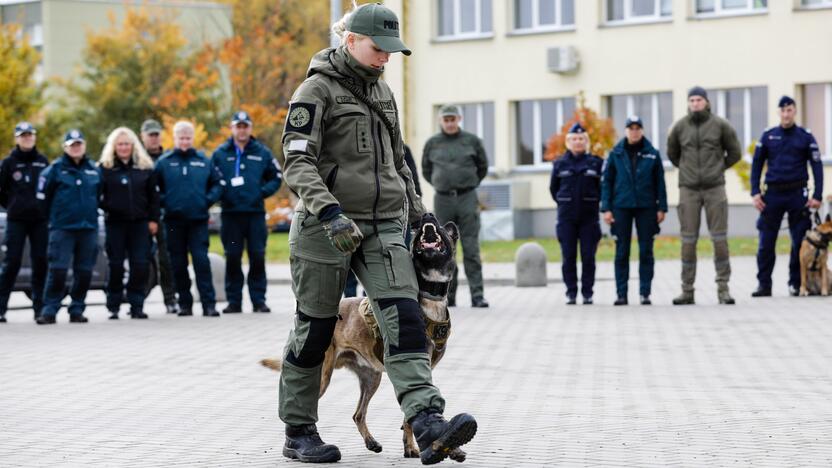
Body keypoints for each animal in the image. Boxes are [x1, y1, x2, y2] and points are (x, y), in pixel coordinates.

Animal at [262, 215, 468, 460]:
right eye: (421, 228)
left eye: (438, 226)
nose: (427, 216)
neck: (430, 296)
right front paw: (424, 447)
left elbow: (409, 413)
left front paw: (418, 446)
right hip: (323, 375)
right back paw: (300, 442)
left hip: (371, 378)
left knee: (358, 414)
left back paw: (371, 442)